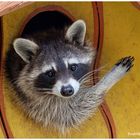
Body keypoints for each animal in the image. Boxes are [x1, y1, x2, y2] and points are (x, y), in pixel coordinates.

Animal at [4, 19, 135, 132]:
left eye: (73, 67)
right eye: (50, 73)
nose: (67, 91)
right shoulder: (36, 101)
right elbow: (74, 112)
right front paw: (109, 78)